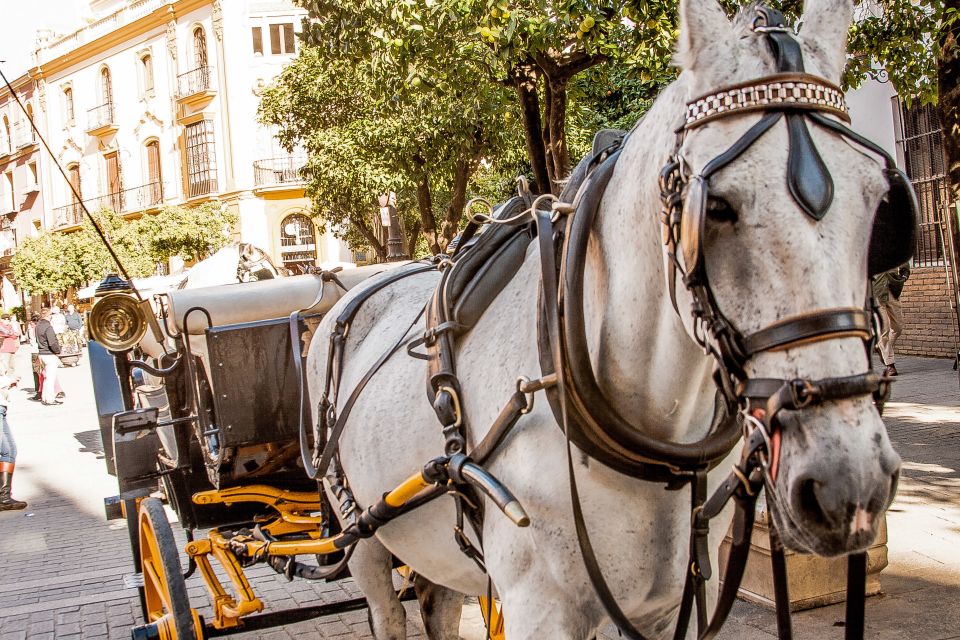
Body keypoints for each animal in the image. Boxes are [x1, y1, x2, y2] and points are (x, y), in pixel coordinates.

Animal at [306, 0, 900, 636]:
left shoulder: (667, 606)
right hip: (359, 530)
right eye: (715, 207)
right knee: (384, 604)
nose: (848, 484)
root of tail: (351, 291)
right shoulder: (537, 608)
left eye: (881, 204)